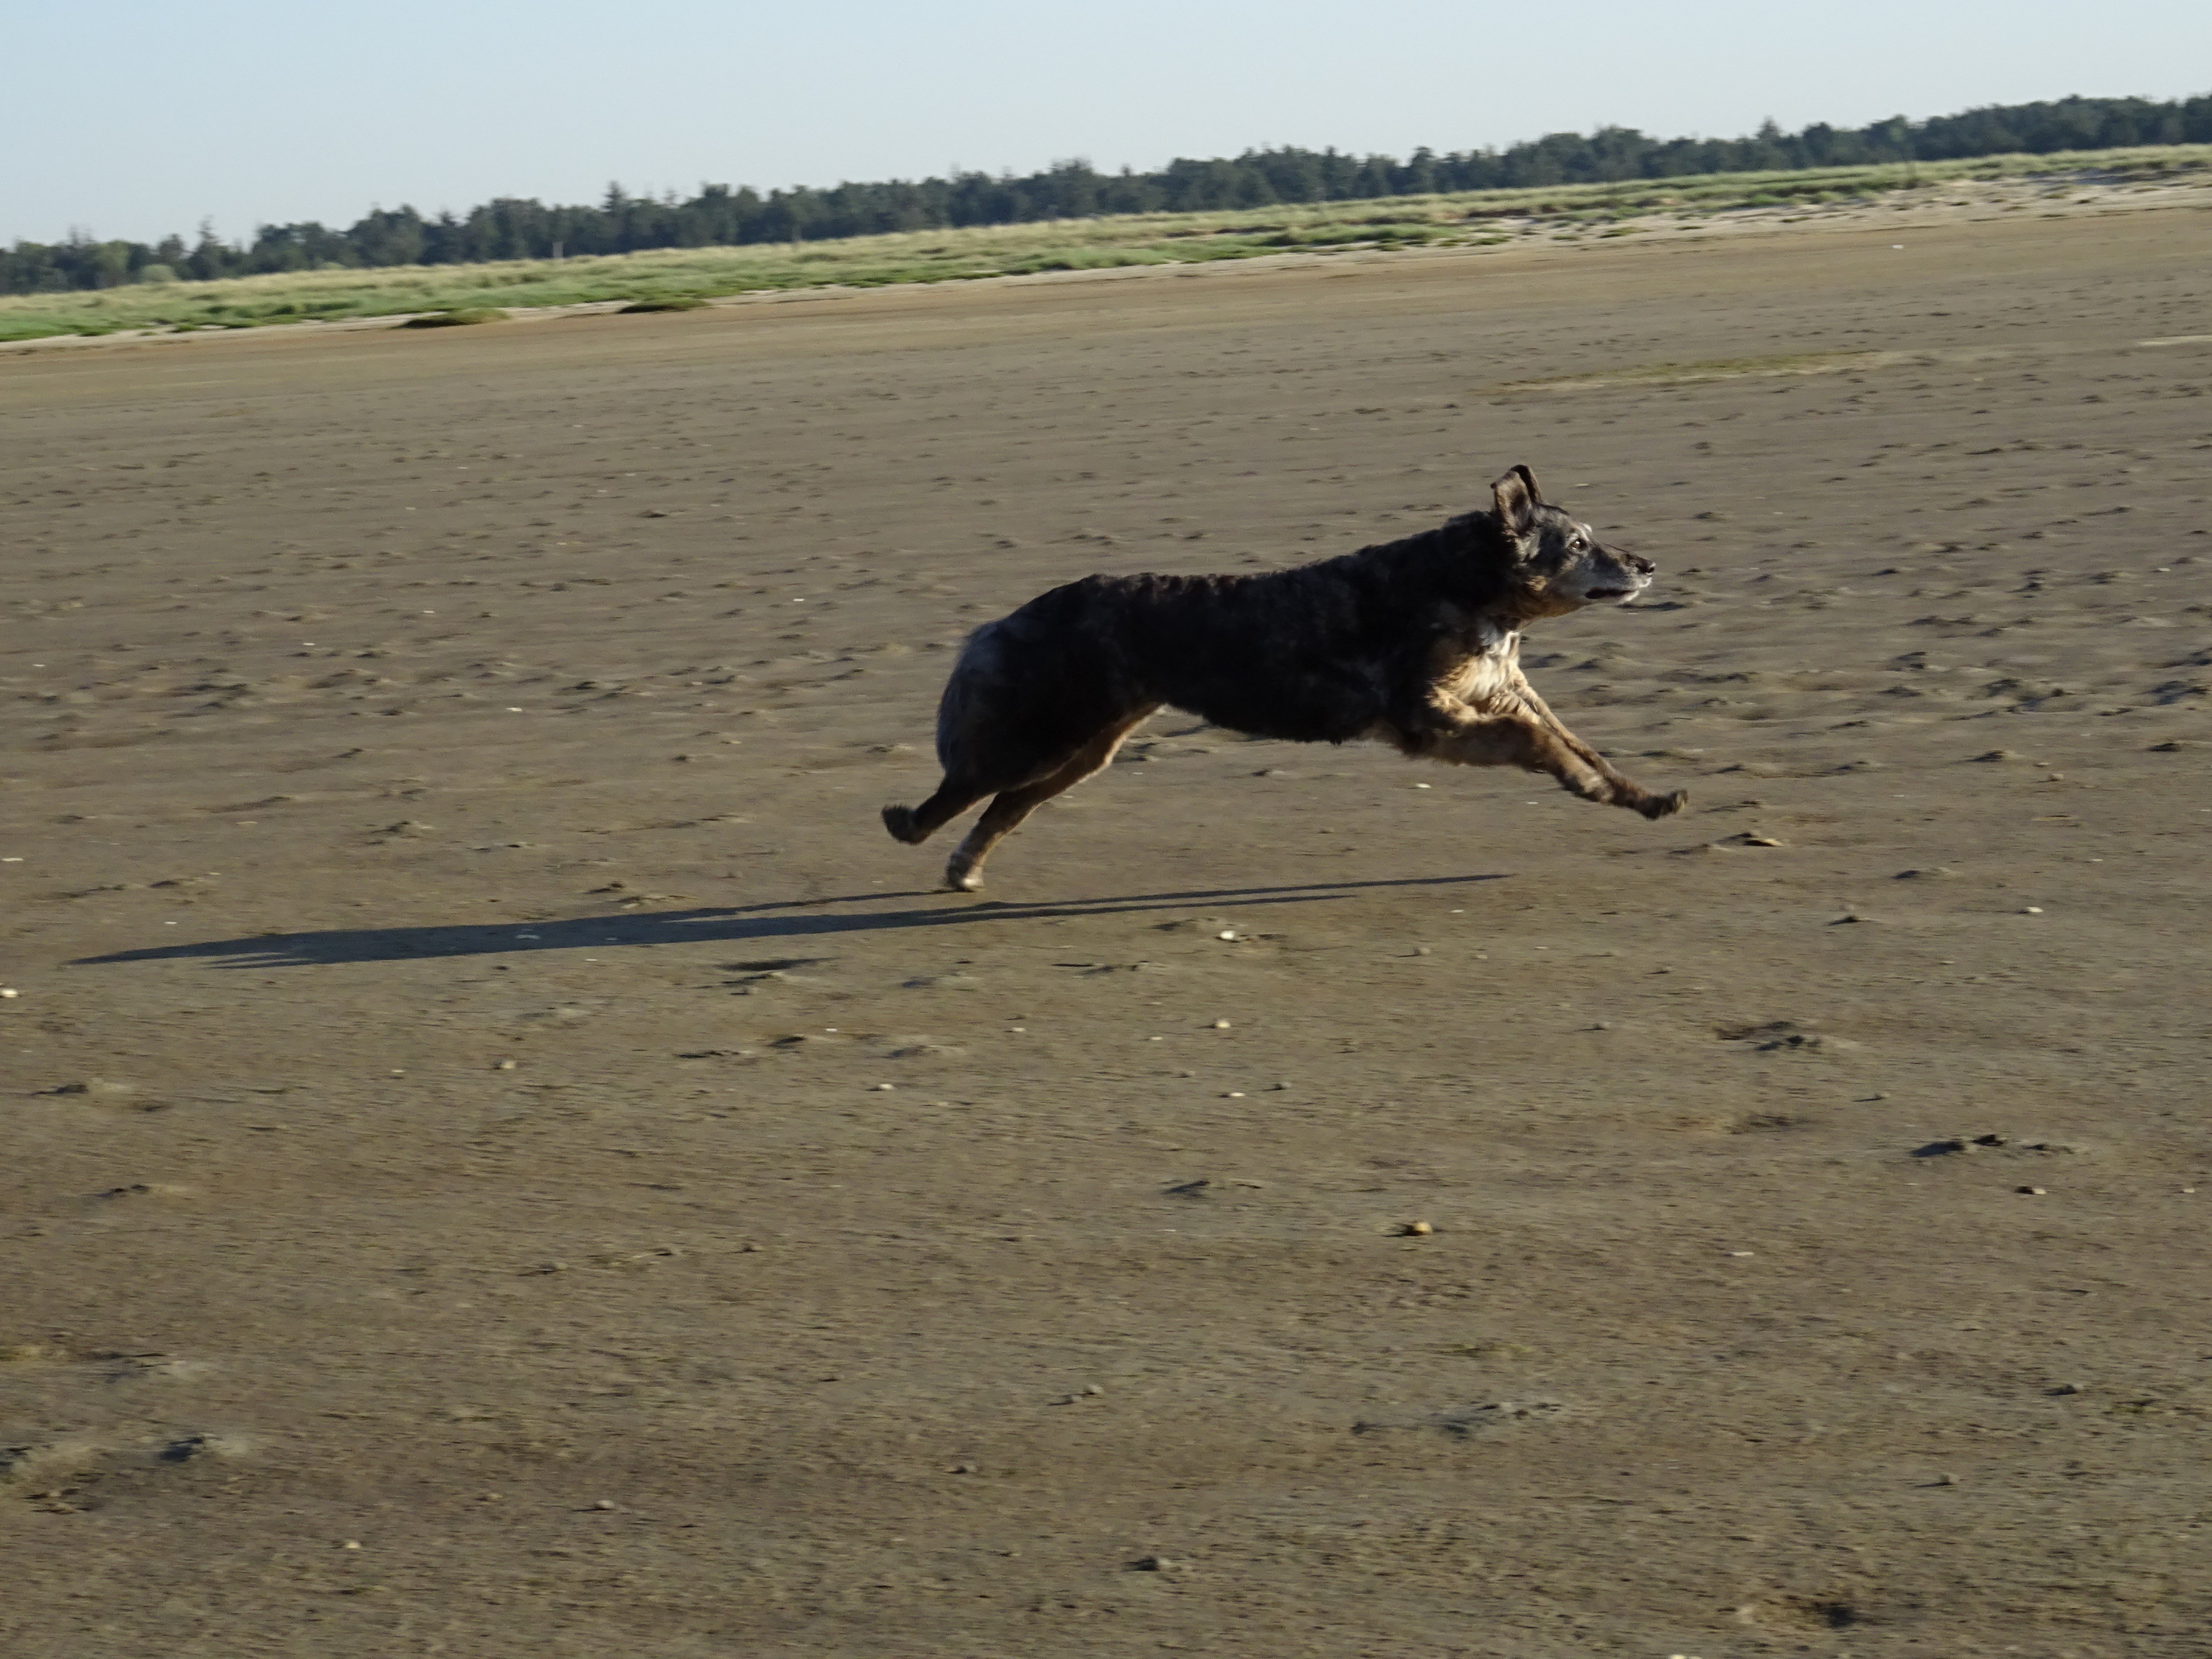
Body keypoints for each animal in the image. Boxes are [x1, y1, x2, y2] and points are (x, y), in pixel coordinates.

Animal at [872, 465, 1681, 898]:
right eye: (1577, 544)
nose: (1647, 564)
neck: (1471, 585)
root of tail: (1007, 618)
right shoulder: (1428, 716)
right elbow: (1539, 744)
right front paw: (1587, 785)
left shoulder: (1501, 690)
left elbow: (1575, 741)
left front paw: (1640, 796)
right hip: (1041, 734)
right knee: (964, 790)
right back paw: (912, 827)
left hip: (1086, 749)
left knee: (1006, 806)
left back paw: (963, 867)